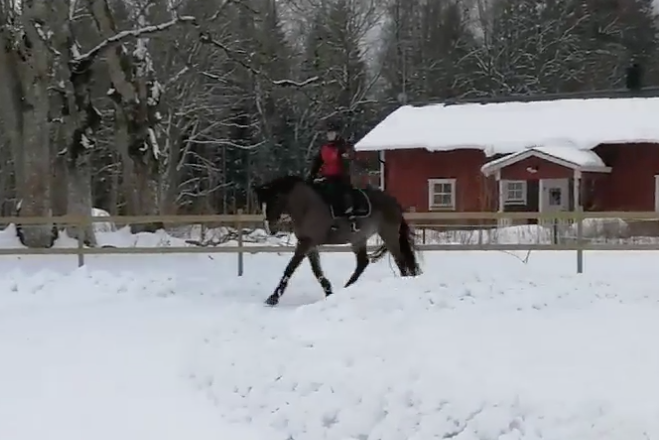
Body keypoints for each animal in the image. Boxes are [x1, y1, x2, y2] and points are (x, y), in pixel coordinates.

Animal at [253, 174, 422, 306]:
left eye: (275, 199)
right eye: (261, 204)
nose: (270, 229)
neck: (307, 207)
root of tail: (394, 203)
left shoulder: (306, 243)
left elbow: (290, 268)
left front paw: (273, 298)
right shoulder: (309, 244)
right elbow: (317, 271)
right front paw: (329, 292)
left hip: (388, 235)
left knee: (400, 261)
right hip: (359, 239)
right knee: (363, 263)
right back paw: (347, 288)